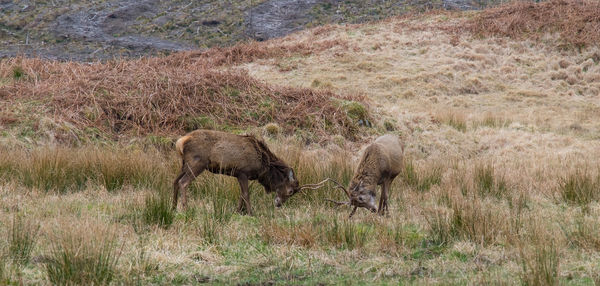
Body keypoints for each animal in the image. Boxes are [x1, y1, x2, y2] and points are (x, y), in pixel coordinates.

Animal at [171, 130, 314, 214]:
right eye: (290, 191)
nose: (278, 204)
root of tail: (180, 142)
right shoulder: (243, 172)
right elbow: (246, 194)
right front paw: (251, 213)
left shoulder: (239, 175)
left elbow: (241, 194)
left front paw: (237, 211)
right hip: (197, 163)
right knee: (183, 182)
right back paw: (185, 209)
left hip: (184, 164)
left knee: (175, 181)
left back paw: (173, 207)